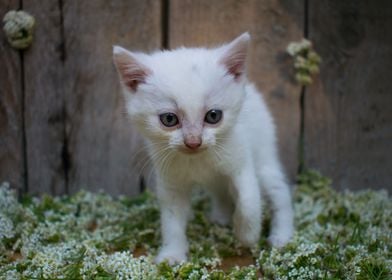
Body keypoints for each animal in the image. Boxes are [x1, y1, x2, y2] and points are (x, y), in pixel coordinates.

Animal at [112, 32, 292, 264]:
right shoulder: (171, 182)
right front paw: (172, 253)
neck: (197, 159)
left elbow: (249, 200)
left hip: (264, 159)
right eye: (169, 119)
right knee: (221, 191)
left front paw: (247, 234)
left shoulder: (241, 164)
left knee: (279, 192)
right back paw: (221, 217)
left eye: (213, 116)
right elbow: (171, 221)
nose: (193, 141)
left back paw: (282, 235)